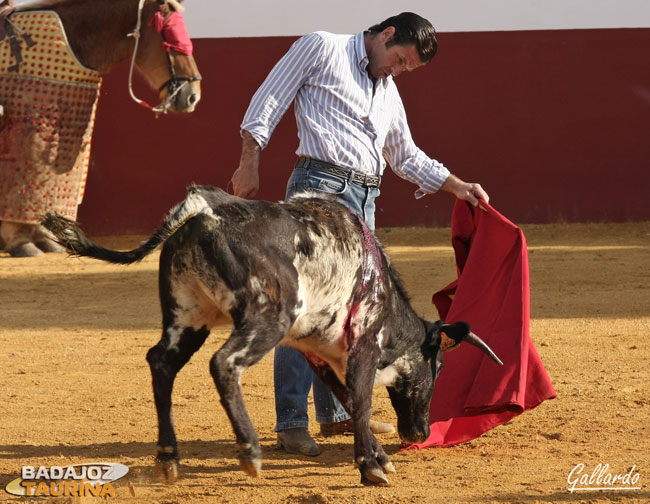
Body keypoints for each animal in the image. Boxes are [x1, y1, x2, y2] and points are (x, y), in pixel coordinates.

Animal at [43, 184, 502, 484]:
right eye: (438, 368)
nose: (420, 433)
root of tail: (206, 209)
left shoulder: (321, 352)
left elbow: (351, 402)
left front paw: (380, 457)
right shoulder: (362, 347)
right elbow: (363, 401)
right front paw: (372, 468)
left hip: (188, 316)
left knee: (161, 363)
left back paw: (169, 458)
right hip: (267, 317)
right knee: (223, 363)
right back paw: (249, 452)